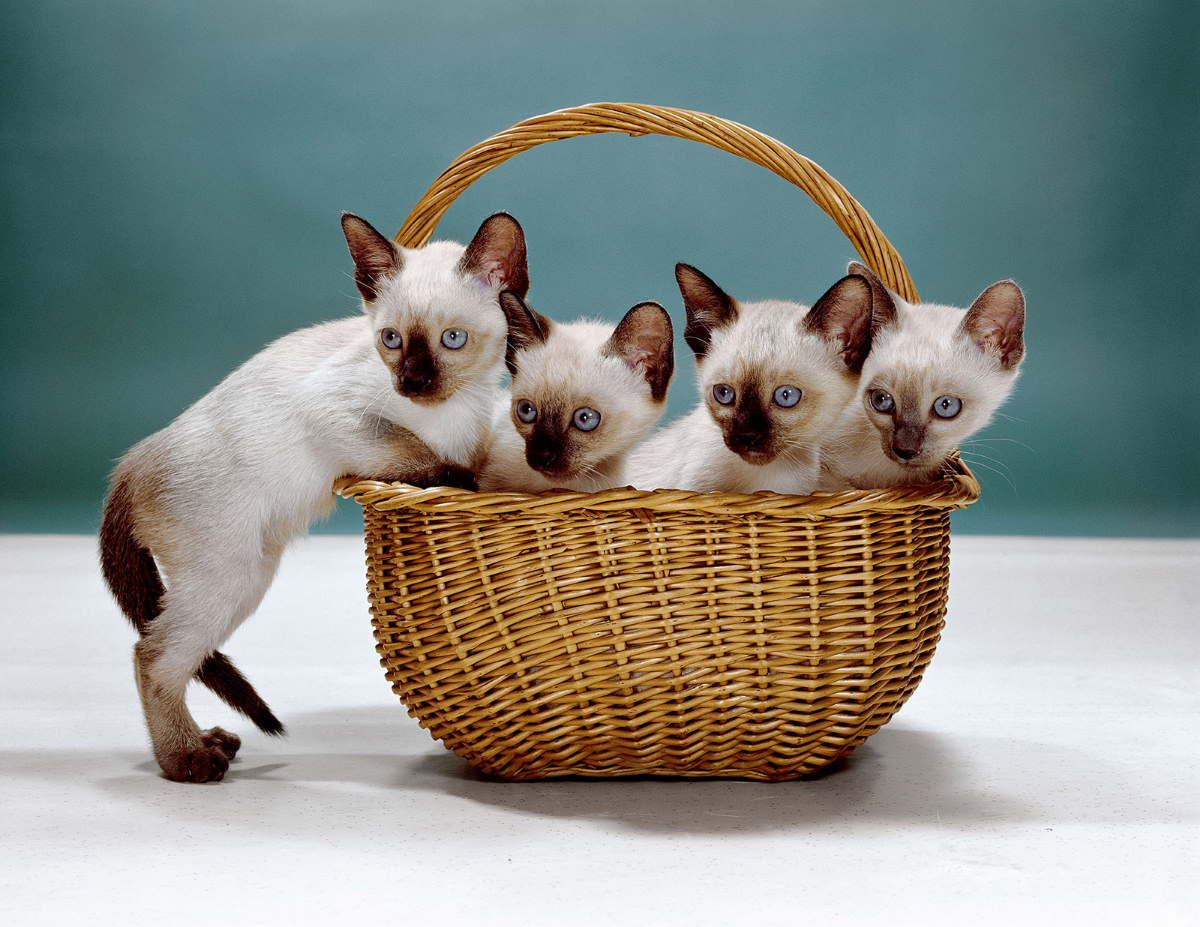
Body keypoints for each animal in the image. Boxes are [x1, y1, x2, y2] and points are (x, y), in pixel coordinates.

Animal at [103, 211, 530, 782]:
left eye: (453, 339)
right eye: (391, 340)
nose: (412, 383)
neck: (453, 411)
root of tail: (133, 459)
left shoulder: (476, 435)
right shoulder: (338, 414)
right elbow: (420, 454)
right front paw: (457, 480)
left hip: (248, 581)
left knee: (175, 653)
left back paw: (209, 740)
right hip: (226, 578)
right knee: (150, 656)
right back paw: (187, 759)